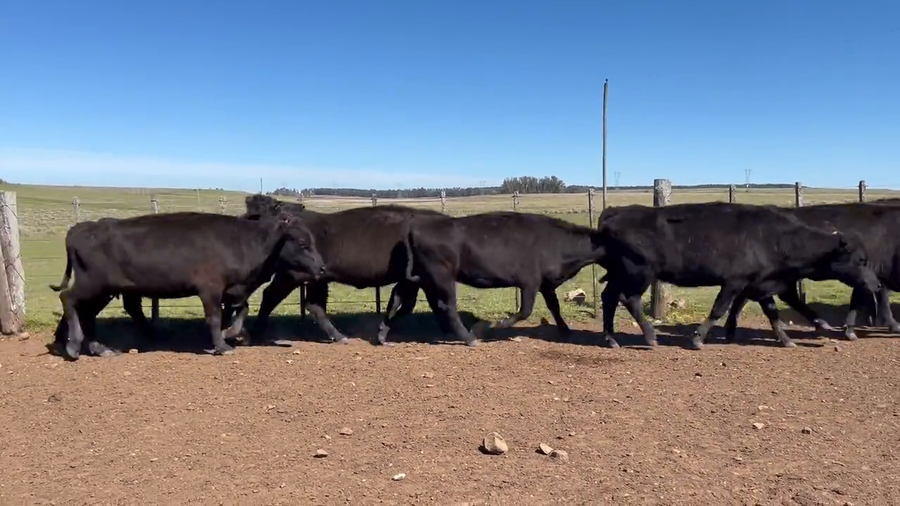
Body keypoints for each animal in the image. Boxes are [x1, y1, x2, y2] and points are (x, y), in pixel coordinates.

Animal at [51, 211, 325, 361]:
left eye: (312, 241)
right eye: (302, 243)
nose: (322, 268)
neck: (243, 242)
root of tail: (81, 228)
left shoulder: (232, 290)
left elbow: (242, 311)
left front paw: (232, 334)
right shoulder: (210, 289)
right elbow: (214, 318)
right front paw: (222, 345)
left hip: (104, 291)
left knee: (88, 313)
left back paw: (99, 348)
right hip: (92, 283)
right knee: (68, 299)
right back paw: (73, 346)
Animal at [239, 195, 449, 345]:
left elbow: (420, 304)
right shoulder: (412, 279)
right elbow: (405, 304)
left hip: (317, 279)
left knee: (313, 305)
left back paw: (339, 336)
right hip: (292, 276)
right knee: (272, 296)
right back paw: (255, 333)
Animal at [395, 211, 606, 346]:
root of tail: (417, 228)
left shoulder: (546, 284)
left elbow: (554, 307)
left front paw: (565, 330)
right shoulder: (529, 282)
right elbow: (525, 311)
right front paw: (499, 325)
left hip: (421, 278)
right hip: (442, 277)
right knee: (447, 307)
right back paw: (469, 338)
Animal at [596, 202, 881, 350]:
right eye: (861, 260)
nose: (877, 284)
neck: (777, 239)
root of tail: (617, 210)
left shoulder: (764, 283)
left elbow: (776, 313)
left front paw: (793, 336)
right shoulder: (735, 281)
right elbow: (719, 309)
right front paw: (698, 338)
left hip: (621, 274)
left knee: (609, 297)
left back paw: (611, 339)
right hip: (638, 273)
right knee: (628, 299)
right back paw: (649, 336)